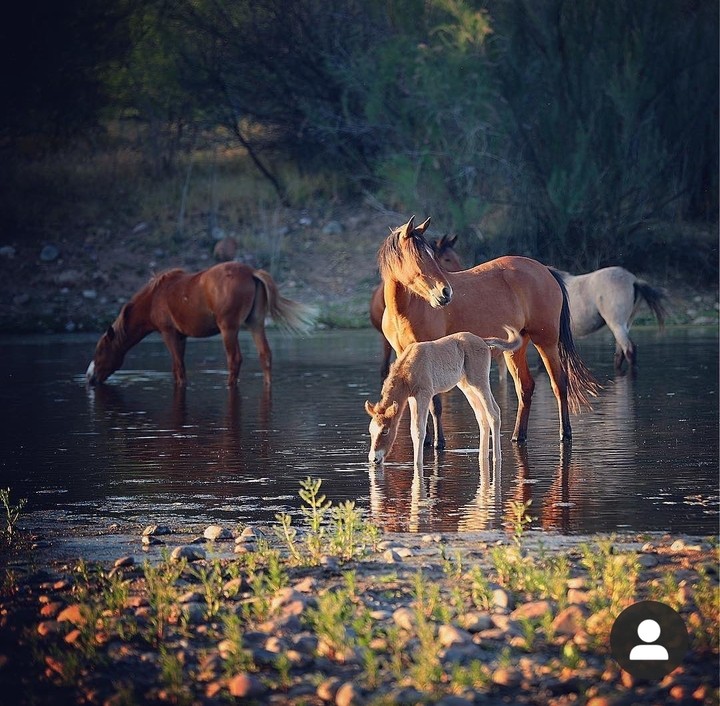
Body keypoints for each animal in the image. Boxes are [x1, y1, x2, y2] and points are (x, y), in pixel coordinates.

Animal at [86, 262, 317, 387]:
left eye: (101, 350)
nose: (89, 377)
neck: (154, 298)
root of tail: (251, 272)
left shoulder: (168, 333)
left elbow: (179, 369)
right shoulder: (181, 336)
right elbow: (178, 368)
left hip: (229, 328)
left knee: (235, 359)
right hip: (255, 324)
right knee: (265, 355)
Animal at [366, 327, 522, 471]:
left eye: (385, 431)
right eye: (371, 430)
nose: (374, 459)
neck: (408, 369)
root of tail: (482, 341)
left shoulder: (424, 394)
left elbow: (418, 430)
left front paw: (418, 465)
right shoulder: (411, 398)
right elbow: (413, 430)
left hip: (479, 381)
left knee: (493, 413)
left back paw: (497, 458)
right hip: (466, 386)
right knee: (482, 417)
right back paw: (482, 457)